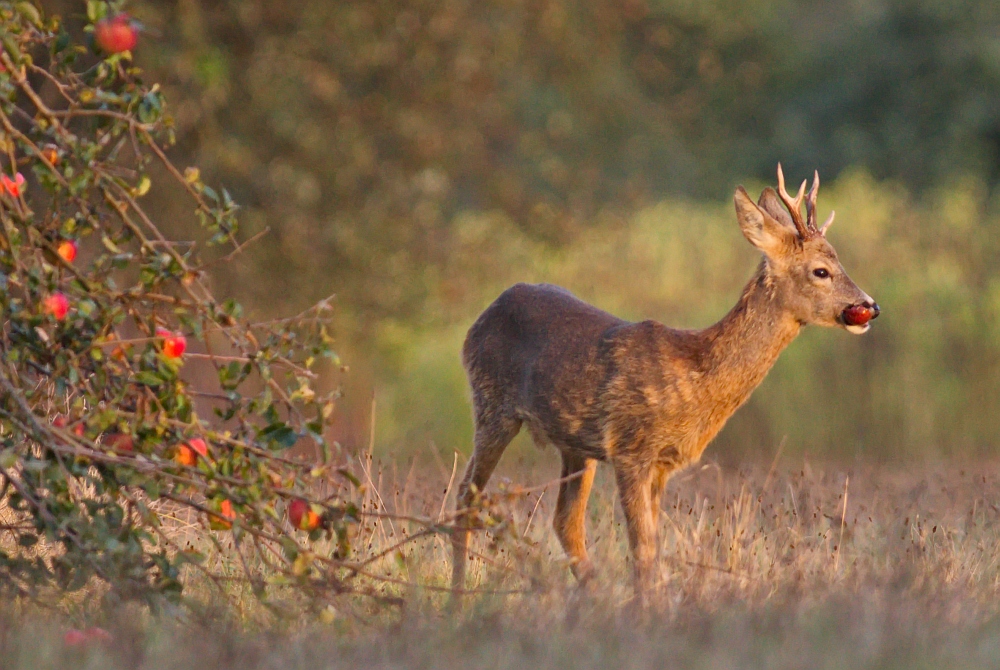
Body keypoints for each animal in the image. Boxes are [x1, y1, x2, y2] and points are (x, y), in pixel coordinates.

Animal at [450, 165, 880, 596]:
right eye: (821, 271)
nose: (870, 307)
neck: (698, 375)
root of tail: (481, 316)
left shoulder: (661, 464)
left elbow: (652, 551)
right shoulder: (630, 449)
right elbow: (642, 551)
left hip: (575, 445)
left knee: (565, 522)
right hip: (492, 407)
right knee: (466, 499)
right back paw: (458, 597)